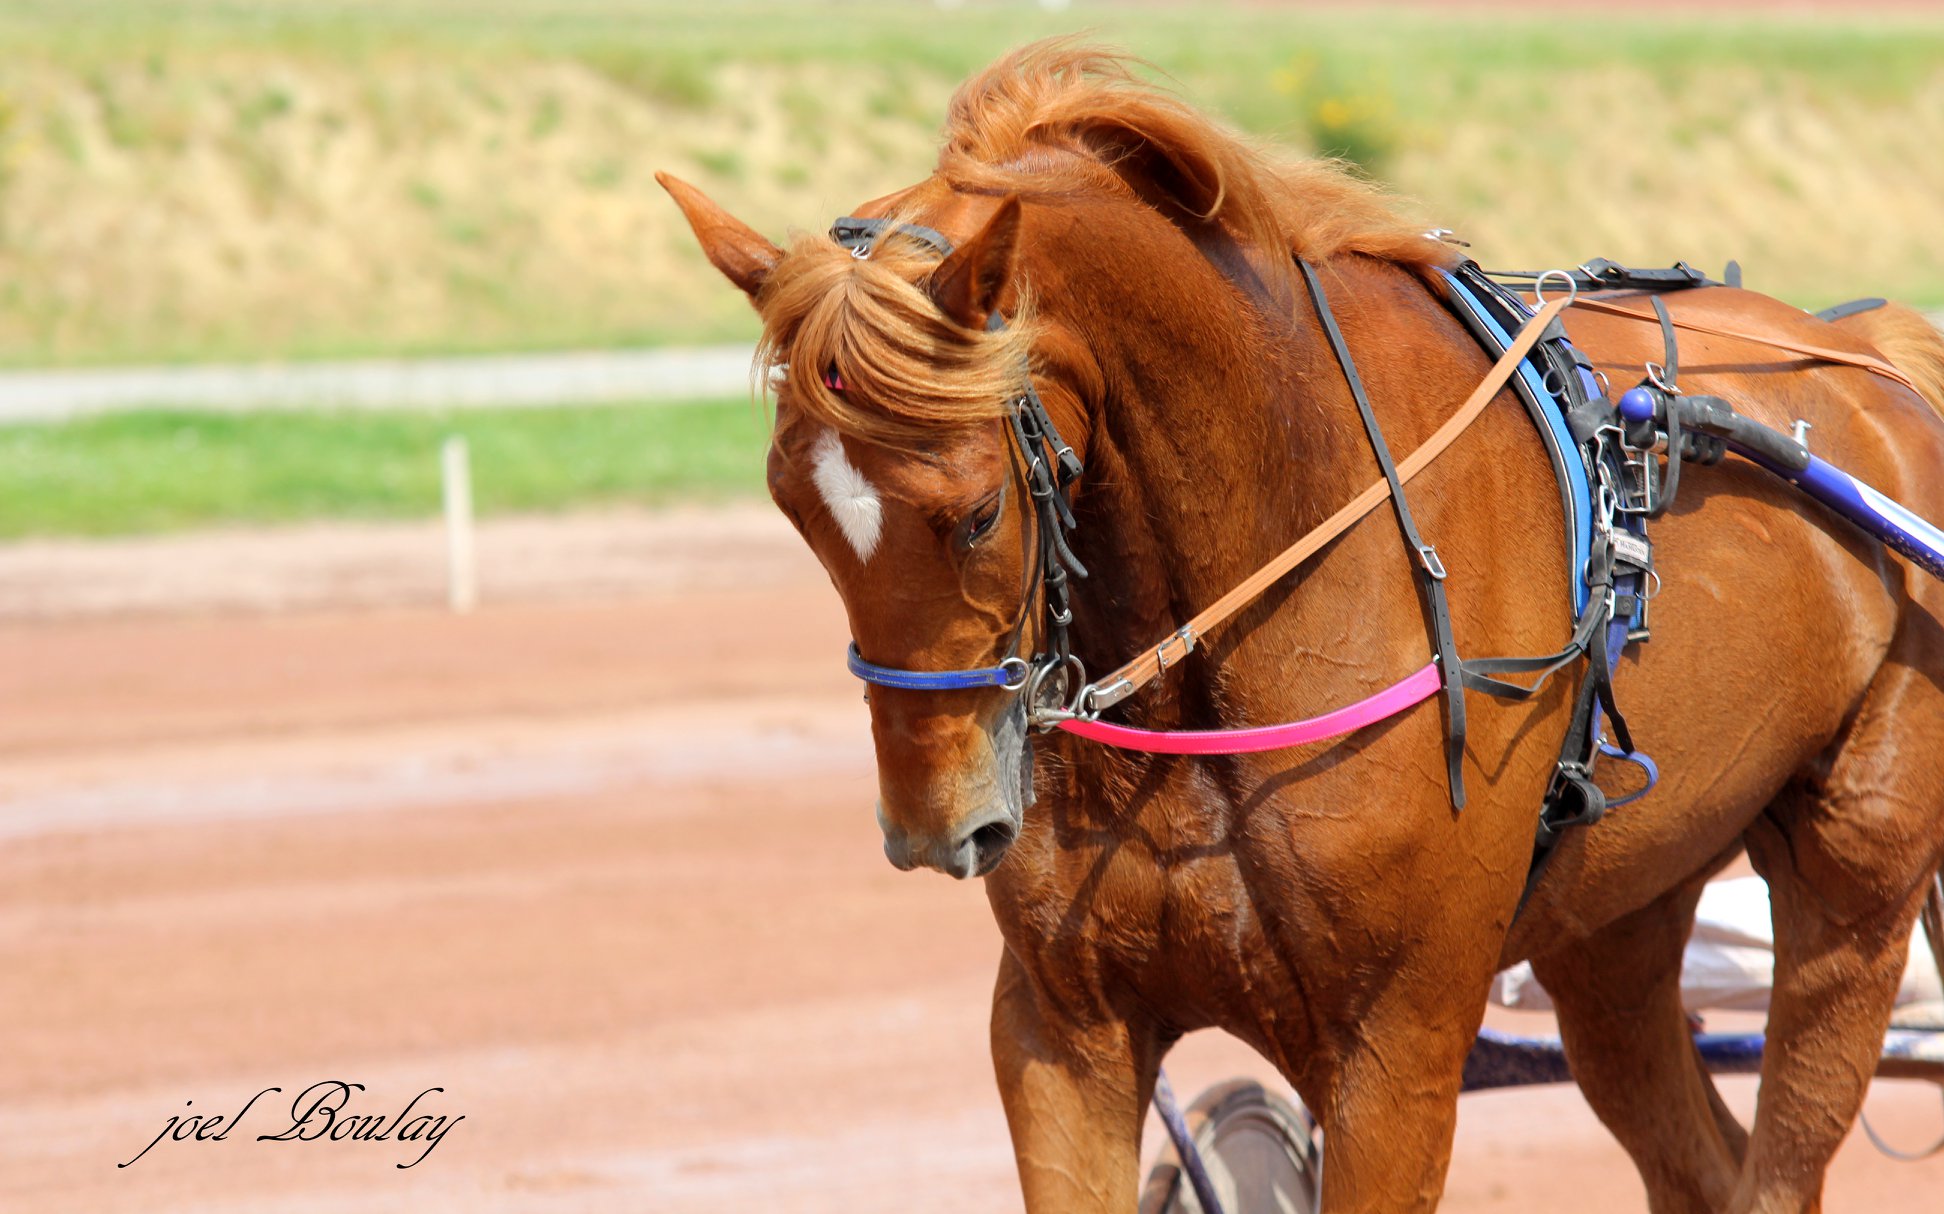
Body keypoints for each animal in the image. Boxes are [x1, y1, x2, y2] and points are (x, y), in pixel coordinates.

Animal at [660, 42, 1944, 1206]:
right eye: (792, 506)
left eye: (975, 513)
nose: (937, 826)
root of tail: (1876, 347)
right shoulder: (1062, 1023)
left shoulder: (1398, 1044)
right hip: (1617, 915)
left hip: (1854, 884)